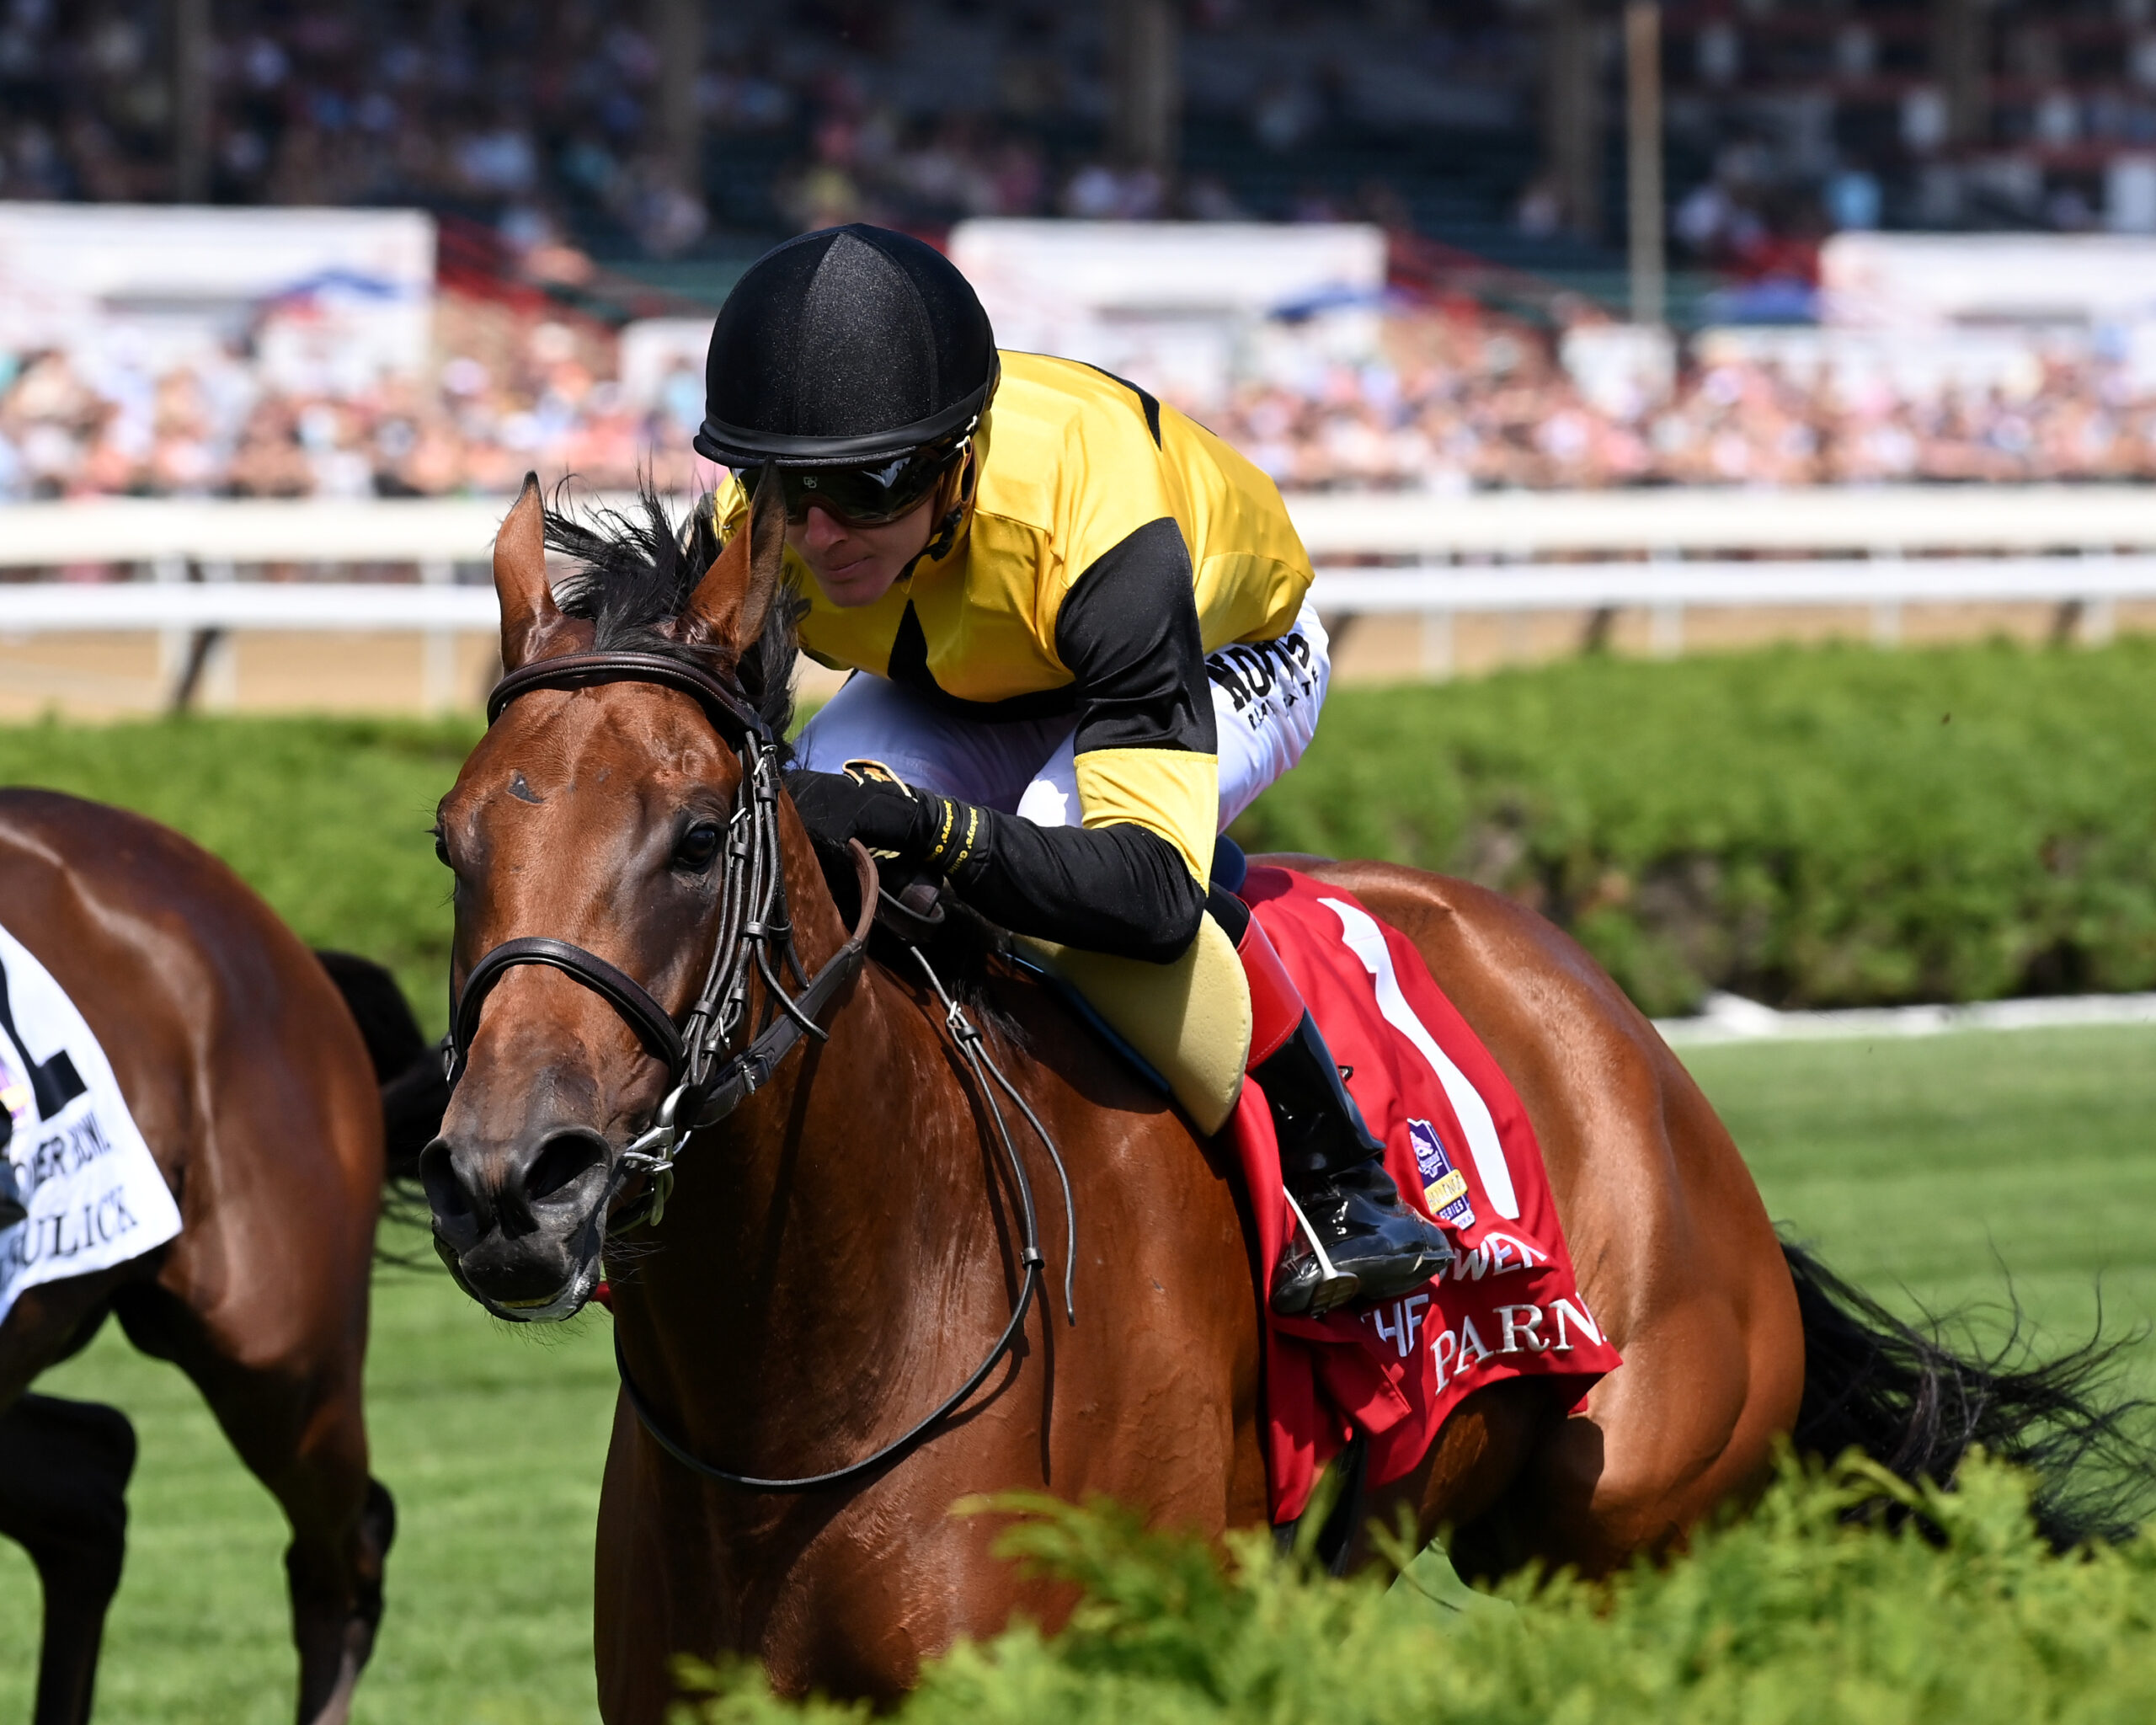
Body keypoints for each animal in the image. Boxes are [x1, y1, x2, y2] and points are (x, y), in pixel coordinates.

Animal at [424, 478, 2140, 1721]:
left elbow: (1144, 881)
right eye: (453, 838)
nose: (514, 1181)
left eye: (701, 834)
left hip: (1625, 1541)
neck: (810, 1379)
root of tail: (1631, 1041)